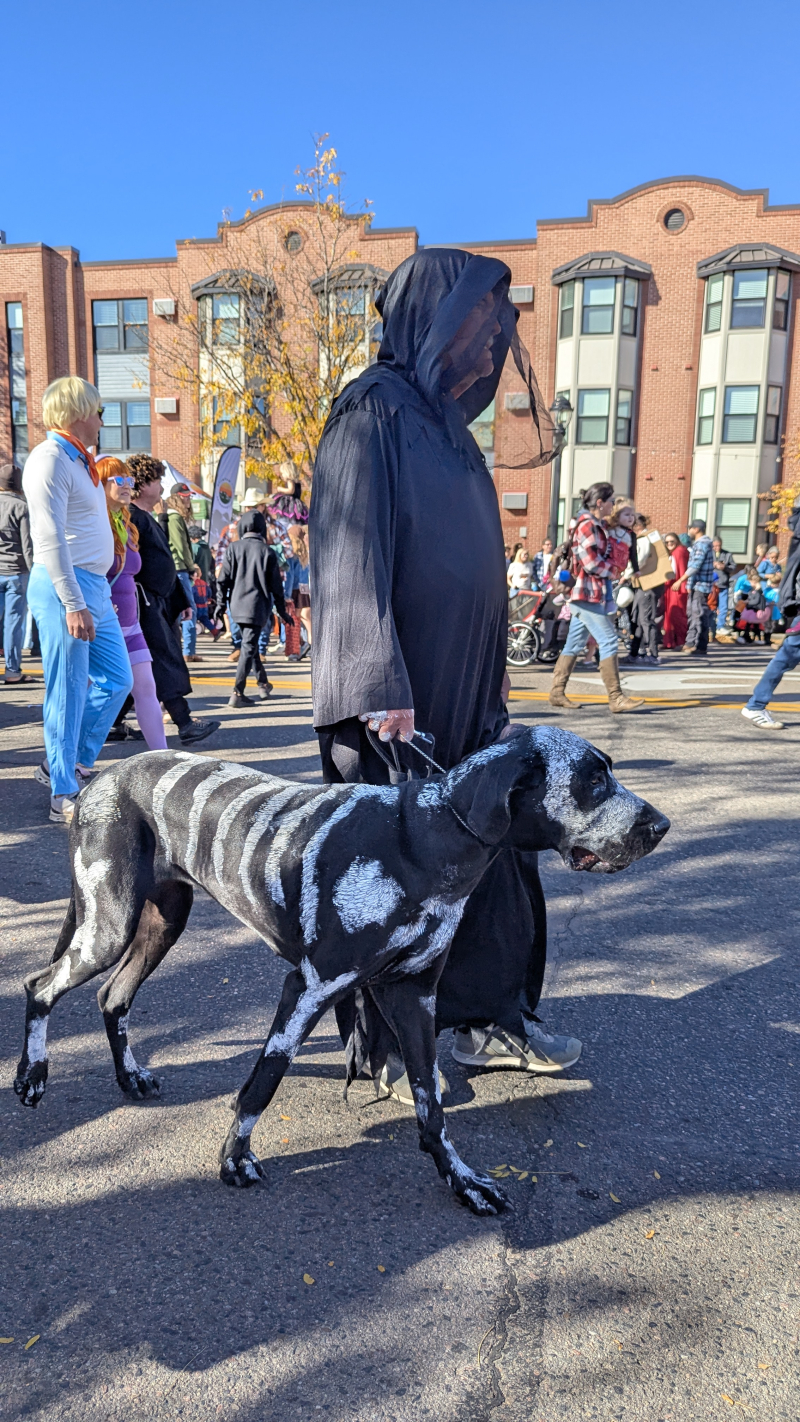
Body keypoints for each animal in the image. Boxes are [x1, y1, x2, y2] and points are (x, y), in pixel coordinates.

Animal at [15, 727, 669, 1215]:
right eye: (592, 781)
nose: (660, 825)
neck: (426, 837)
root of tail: (98, 780)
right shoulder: (308, 988)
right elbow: (261, 1082)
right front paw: (234, 1158)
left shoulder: (414, 997)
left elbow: (432, 1105)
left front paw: (461, 1180)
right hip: (108, 928)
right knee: (40, 986)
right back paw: (33, 1075)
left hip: (157, 925)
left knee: (112, 997)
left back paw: (129, 1078)